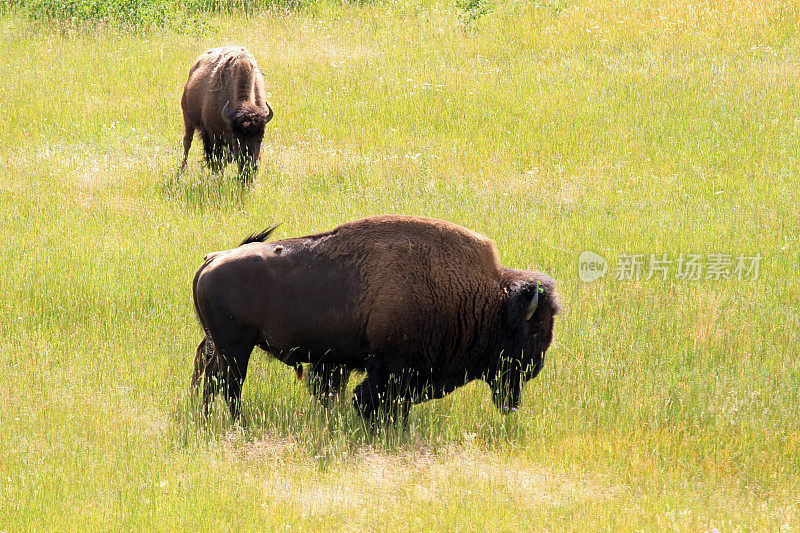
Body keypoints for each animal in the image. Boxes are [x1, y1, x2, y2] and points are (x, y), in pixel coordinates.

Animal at [180, 46, 274, 179]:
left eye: (261, 137)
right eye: (236, 138)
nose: (248, 170)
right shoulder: (214, 135)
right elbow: (216, 160)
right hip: (188, 119)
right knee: (187, 142)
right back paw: (183, 168)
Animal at [192, 215, 564, 424]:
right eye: (534, 331)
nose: (535, 367)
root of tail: (214, 258)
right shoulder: (390, 367)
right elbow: (371, 399)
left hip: (221, 345)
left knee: (210, 379)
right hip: (236, 347)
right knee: (229, 385)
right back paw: (237, 423)